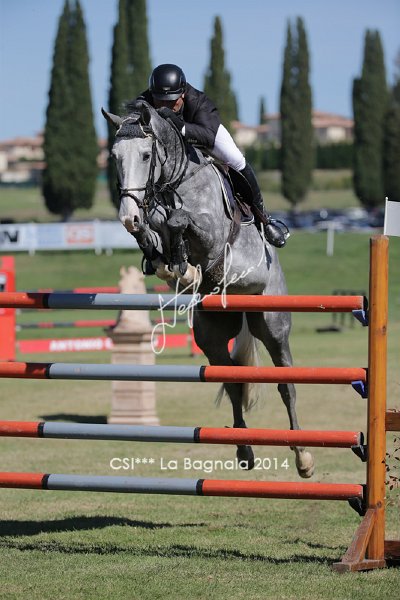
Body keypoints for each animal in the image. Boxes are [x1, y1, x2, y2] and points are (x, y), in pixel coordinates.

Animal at [103, 100, 314, 478]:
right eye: (114, 156)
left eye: (145, 155)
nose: (128, 216)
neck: (173, 182)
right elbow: (155, 233)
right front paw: (169, 262)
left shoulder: (212, 236)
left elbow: (179, 221)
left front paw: (184, 267)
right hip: (211, 335)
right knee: (232, 381)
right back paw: (244, 450)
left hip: (272, 324)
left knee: (286, 384)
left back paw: (303, 457)